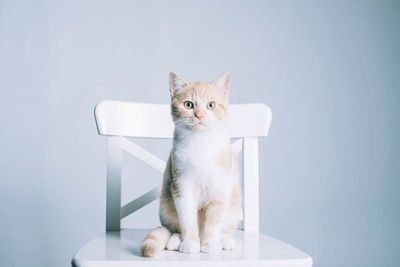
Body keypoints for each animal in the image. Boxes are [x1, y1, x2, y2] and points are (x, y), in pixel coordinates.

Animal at [141, 72, 241, 258]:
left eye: (211, 105)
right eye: (188, 104)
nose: (199, 115)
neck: (200, 142)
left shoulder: (220, 188)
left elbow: (214, 221)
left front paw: (210, 244)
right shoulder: (182, 186)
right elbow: (187, 220)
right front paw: (190, 244)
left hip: (235, 205)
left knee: (226, 229)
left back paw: (225, 241)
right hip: (166, 206)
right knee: (175, 229)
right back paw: (175, 241)